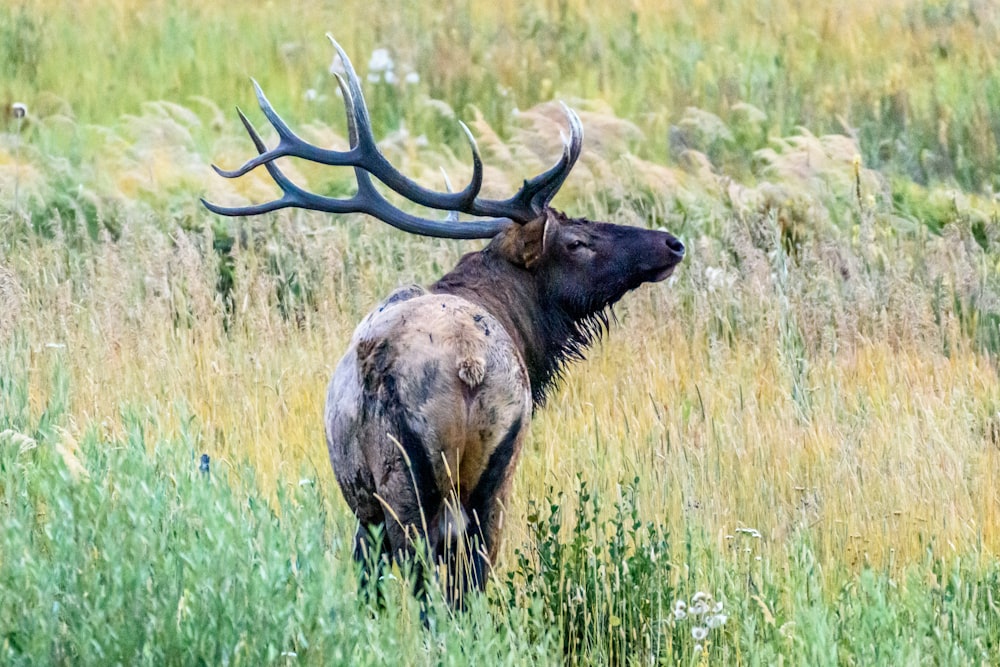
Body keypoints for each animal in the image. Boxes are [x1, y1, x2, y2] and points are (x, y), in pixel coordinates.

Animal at [205, 35, 688, 604]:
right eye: (576, 241)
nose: (672, 243)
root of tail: (468, 368)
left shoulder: (367, 509)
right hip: (478, 475)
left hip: (418, 484)